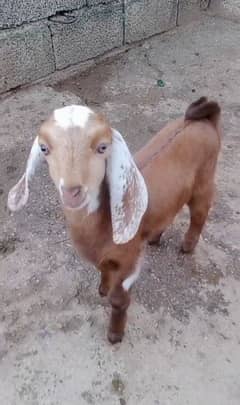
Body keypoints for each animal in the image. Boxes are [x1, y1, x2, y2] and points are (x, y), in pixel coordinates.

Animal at [7, 96, 221, 342]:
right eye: (44, 148)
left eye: (103, 147)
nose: (72, 192)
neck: (101, 226)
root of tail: (204, 118)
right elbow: (103, 270)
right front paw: (102, 289)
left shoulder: (129, 259)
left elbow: (118, 300)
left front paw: (115, 334)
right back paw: (155, 237)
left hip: (205, 179)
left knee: (200, 213)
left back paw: (187, 246)